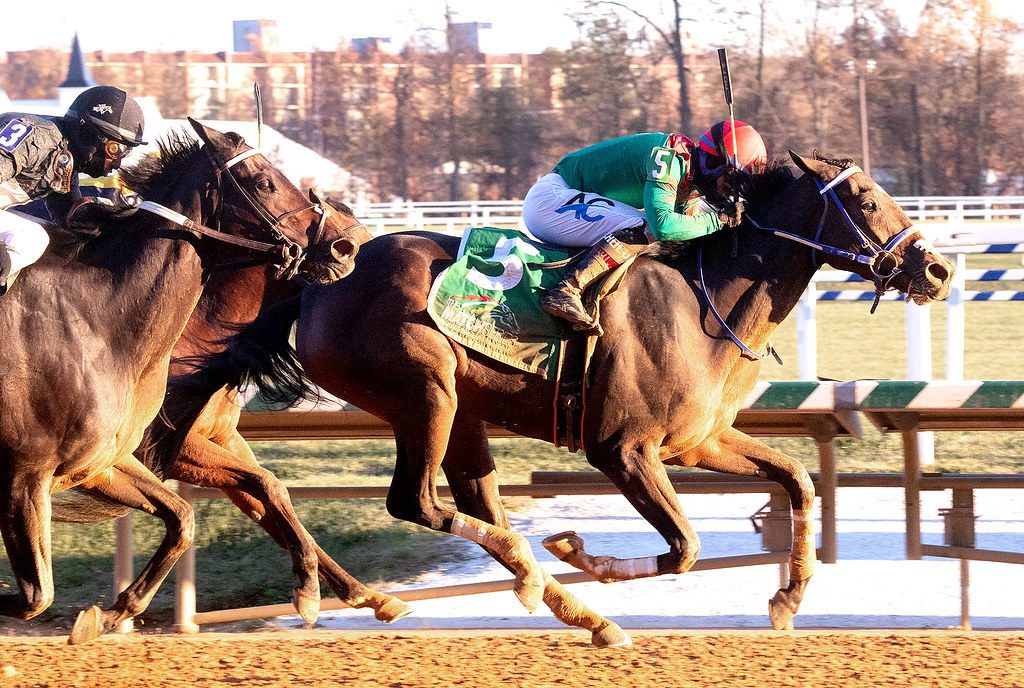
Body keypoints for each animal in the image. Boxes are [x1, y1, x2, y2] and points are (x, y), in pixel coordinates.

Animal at [1, 119, 360, 647]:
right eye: (265, 182)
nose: (344, 249)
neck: (102, 320)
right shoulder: (28, 476)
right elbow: (35, 596)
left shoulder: (105, 462)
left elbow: (214, 508)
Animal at [182, 150, 950, 647]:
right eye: (867, 199)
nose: (937, 269)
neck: (704, 302)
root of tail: (319, 283)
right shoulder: (623, 449)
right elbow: (686, 547)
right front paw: (587, 555)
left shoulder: (699, 440)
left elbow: (795, 480)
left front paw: (789, 598)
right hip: (426, 389)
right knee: (416, 502)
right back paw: (533, 574)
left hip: (464, 412)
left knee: (476, 504)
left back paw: (582, 613)